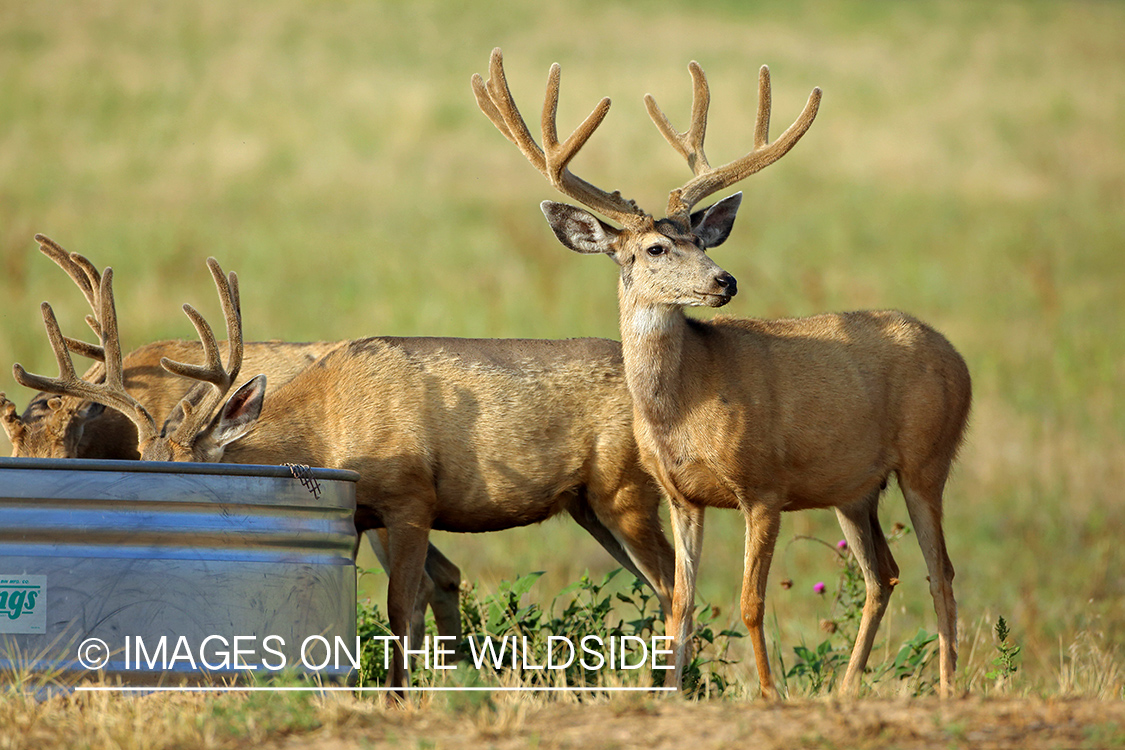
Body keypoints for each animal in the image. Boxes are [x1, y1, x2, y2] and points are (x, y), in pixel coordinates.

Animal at [13, 244, 670, 688]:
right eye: (141, 462)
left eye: (195, 473)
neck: (329, 423)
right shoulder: (352, 516)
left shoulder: (411, 499)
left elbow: (401, 608)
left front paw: (398, 698)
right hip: (589, 507)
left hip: (625, 492)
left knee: (672, 582)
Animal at [470, 49, 972, 701]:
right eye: (656, 248)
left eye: (700, 238)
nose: (724, 280)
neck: (684, 406)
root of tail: (957, 357)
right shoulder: (681, 495)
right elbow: (680, 604)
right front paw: (670, 693)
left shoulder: (763, 485)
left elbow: (750, 602)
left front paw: (768, 694)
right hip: (854, 486)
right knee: (882, 574)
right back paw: (845, 689)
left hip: (926, 457)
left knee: (942, 572)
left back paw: (947, 687)